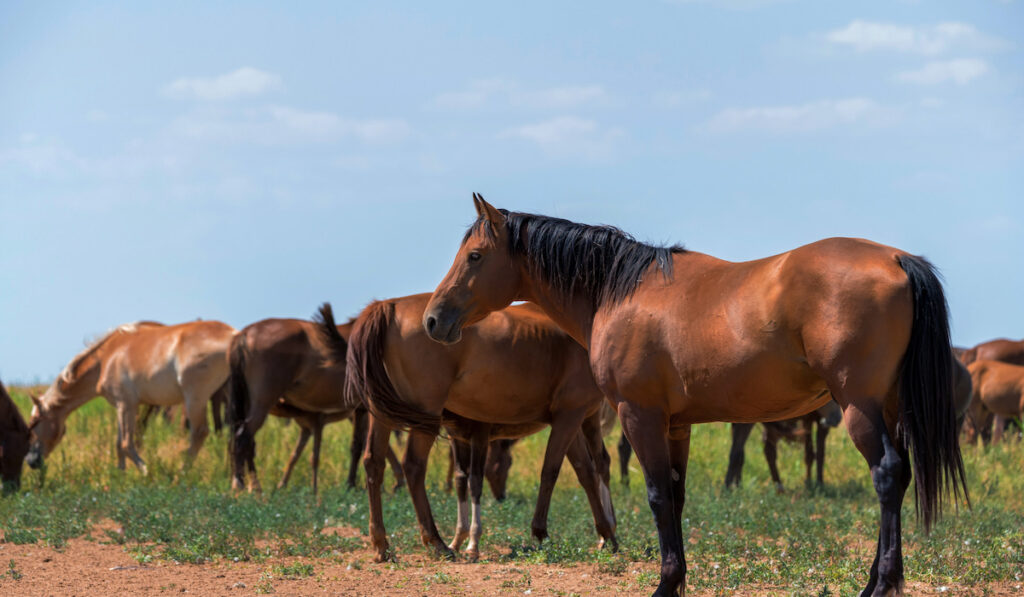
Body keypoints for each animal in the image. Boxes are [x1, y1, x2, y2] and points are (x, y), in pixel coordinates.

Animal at [26, 319, 235, 475]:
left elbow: (127, 444)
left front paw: (145, 472)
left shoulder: (126, 405)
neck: (106, 359)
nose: (30, 461)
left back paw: (180, 475)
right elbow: (119, 445)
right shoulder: (122, 406)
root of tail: (233, 335)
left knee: (200, 433)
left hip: (195, 399)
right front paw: (119, 477)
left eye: (35, 422)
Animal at [226, 313, 401, 495]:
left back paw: (251, 485)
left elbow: (360, 445)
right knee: (242, 438)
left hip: (248, 403)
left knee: (245, 442)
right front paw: (354, 484)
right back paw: (242, 485)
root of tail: (244, 334)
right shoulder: (362, 409)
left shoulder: (357, 410)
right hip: (263, 403)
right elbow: (361, 445)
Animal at [325, 296, 614, 561]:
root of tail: (390, 305)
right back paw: (436, 541)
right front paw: (542, 532)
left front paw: (607, 534)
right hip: (426, 415)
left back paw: (381, 544)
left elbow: (584, 472)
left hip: (382, 414)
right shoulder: (570, 416)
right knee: (414, 466)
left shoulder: (568, 419)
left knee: (373, 462)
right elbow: (553, 471)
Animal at [421, 193, 966, 593]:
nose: (432, 319)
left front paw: (665, 584)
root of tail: (897, 259)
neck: (620, 292)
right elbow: (677, 496)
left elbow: (658, 496)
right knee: (900, 477)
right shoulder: (675, 425)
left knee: (888, 475)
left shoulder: (639, 416)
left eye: (474, 256)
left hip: (858, 407)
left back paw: (879, 586)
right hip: (888, 407)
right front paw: (678, 579)